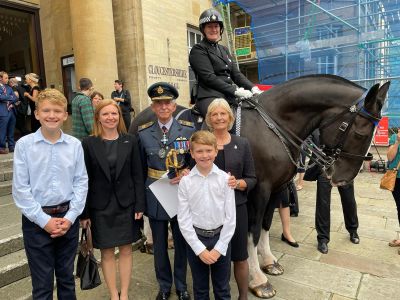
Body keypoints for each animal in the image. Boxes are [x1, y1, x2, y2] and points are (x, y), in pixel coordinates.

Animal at [131, 75, 390, 298]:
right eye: (360, 132)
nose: (343, 178)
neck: (276, 124)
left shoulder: (276, 188)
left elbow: (265, 225)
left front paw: (268, 261)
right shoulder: (259, 190)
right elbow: (253, 232)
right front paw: (258, 280)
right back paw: (151, 241)